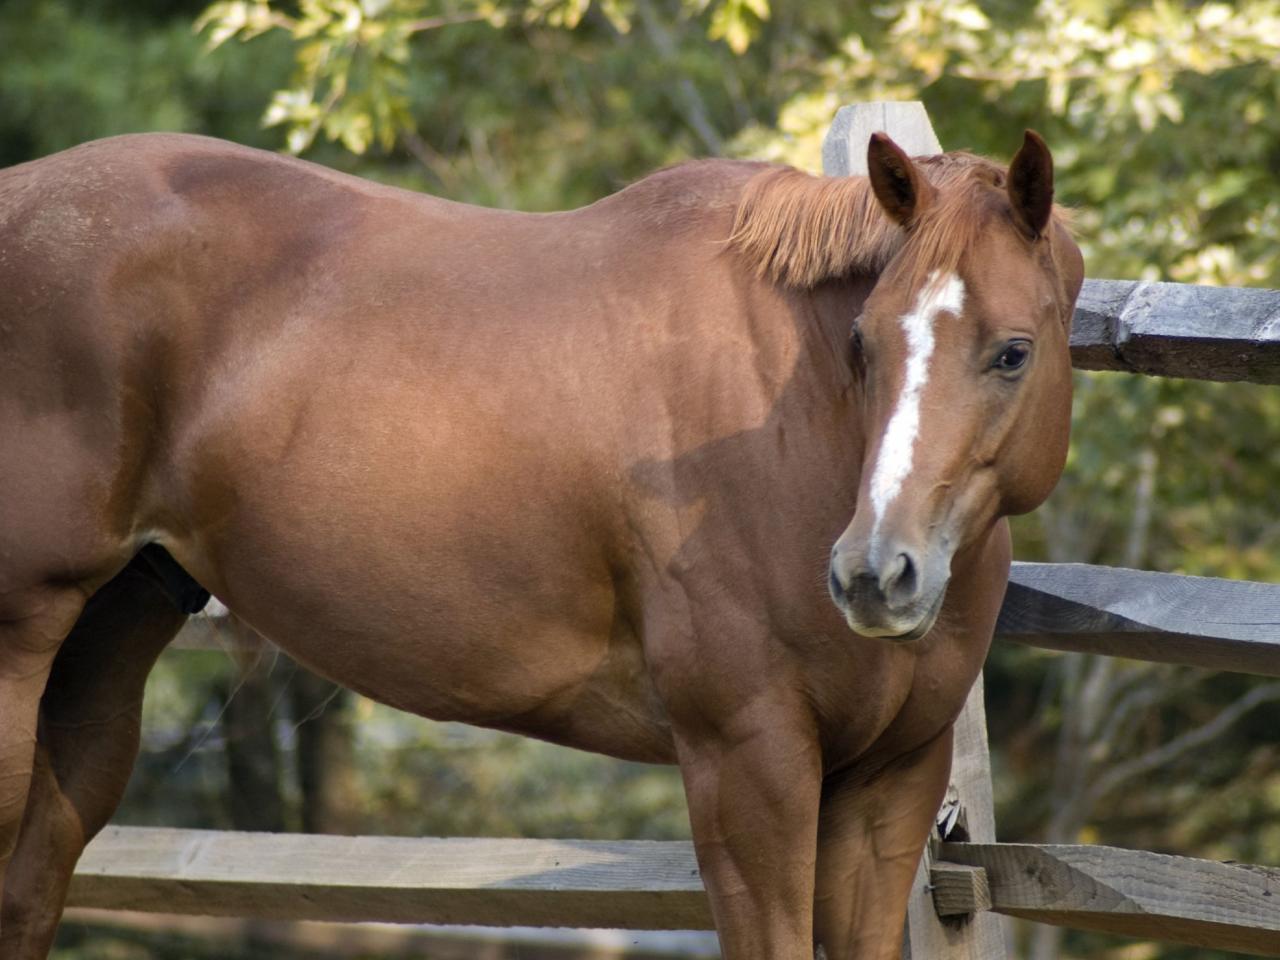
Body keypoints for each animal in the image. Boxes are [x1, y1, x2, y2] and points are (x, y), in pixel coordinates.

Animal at [0, 126, 1080, 957]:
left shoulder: (888, 786)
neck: (792, 426)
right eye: (863, 339)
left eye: (1012, 351)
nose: (872, 574)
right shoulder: (748, 764)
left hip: (115, 629)